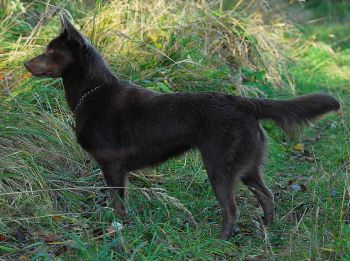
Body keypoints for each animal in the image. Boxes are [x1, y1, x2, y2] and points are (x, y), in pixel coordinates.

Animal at [23, 13, 340, 238]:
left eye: (51, 52)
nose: (25, 64)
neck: (92, 92)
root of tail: (245, 103)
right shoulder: (120, 169)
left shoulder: (112, 166)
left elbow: (118, 204)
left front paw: (118, 228)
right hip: (247, 166)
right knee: (267, 195)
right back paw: (267, 228)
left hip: (220, 167)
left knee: (232, 209)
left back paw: (221, 240)